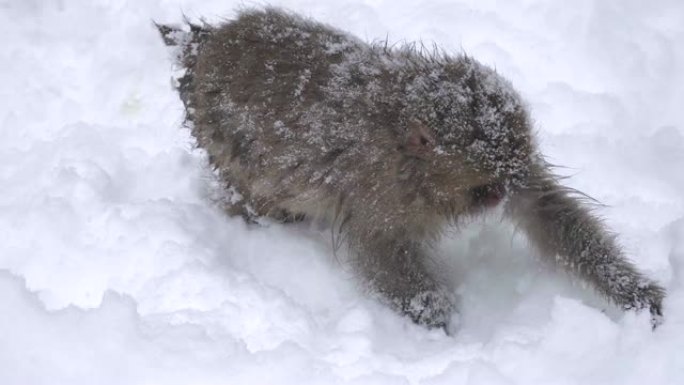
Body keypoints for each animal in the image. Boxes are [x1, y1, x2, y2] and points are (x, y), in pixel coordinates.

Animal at [158, 7, 664, 328]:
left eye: (508, 178)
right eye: (486, 184)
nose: (501, 193)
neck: (411, 158)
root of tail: (203, 48)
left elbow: (545, 212)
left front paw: (632, 291)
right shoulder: (378, 189)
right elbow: (379, 248)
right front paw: (434, 314)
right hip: (227, 150)